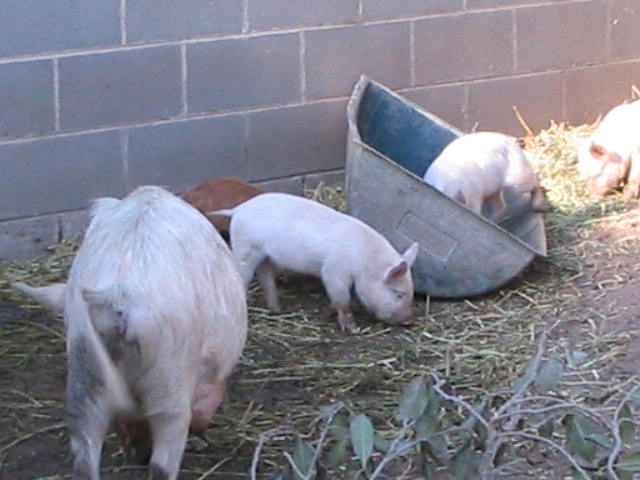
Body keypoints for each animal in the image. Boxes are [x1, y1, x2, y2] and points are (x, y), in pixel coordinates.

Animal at [211, 192, 419, 332]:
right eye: (398, 293)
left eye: (411, 293)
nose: (409, 320)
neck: (364, 261)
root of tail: (238, 209)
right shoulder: (334, 271)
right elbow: (343, 300)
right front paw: (352, 329)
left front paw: (329, 313)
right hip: (245, 250)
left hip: (266, 256)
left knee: (266, 277)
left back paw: (277, 309)